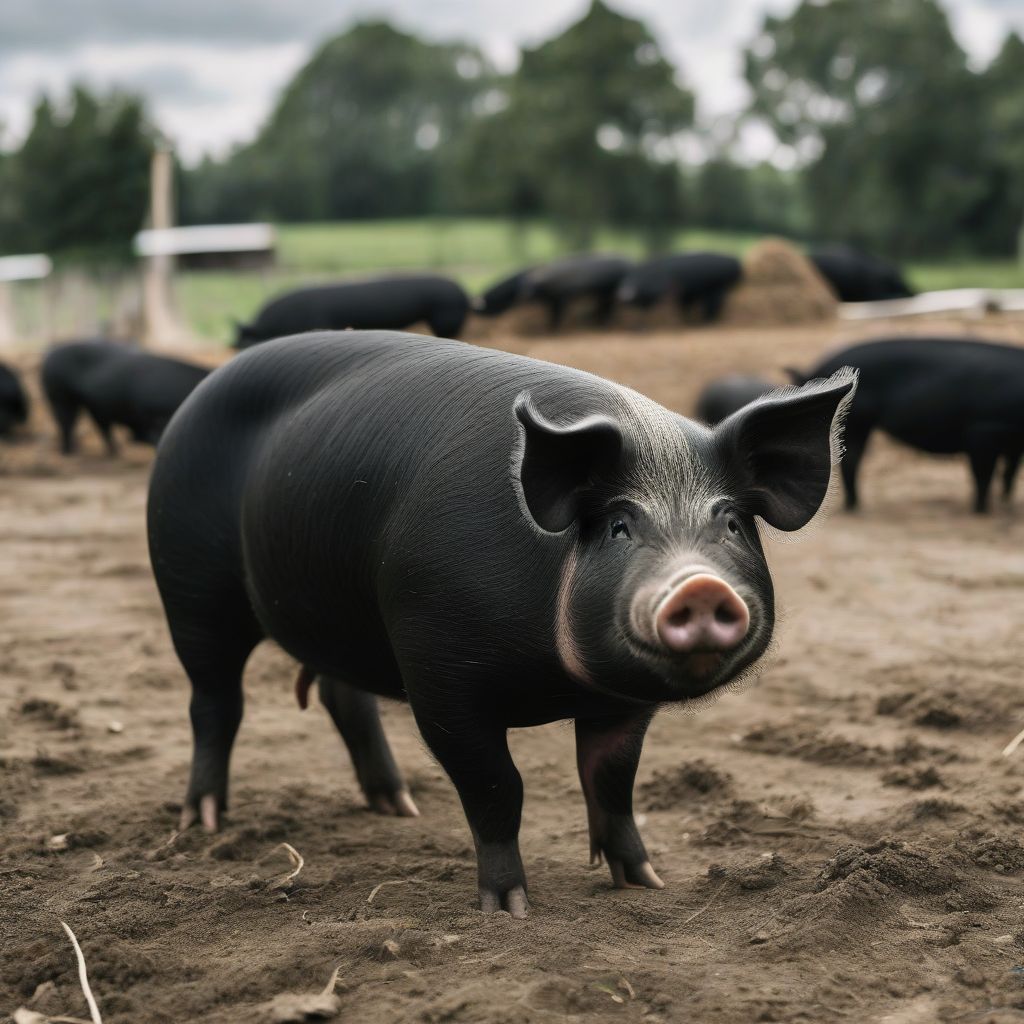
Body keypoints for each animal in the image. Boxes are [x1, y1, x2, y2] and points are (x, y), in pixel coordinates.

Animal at [148, 331, 856, 917]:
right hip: (188, 586)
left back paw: (398, 807)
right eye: (620, 526)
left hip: (337, 620)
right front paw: (510, 910)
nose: (700, 585)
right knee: (215, 701)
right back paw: (202, 822)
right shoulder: (439, 673)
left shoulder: (623, 703)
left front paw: (647, 883)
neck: (557, 684)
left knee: (341, 695)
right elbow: (496, 787)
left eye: (731, 523)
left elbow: (612, 780)